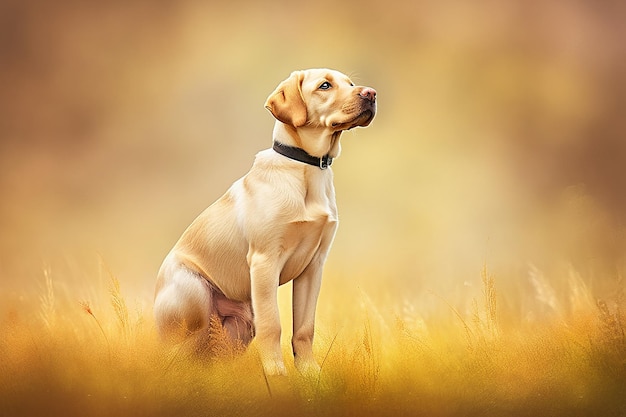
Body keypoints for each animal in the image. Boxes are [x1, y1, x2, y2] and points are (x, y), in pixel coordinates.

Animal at [154, 67, 376, 374]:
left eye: (351, 83)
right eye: (325, 86)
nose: (371, 93)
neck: (305, 167)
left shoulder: (313, 267)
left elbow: (304, 328)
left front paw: (310, 372)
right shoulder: (264, 261)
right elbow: (273, 325)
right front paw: (276, 373)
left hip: (241, 322)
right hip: (195, 291)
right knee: (176, 353)